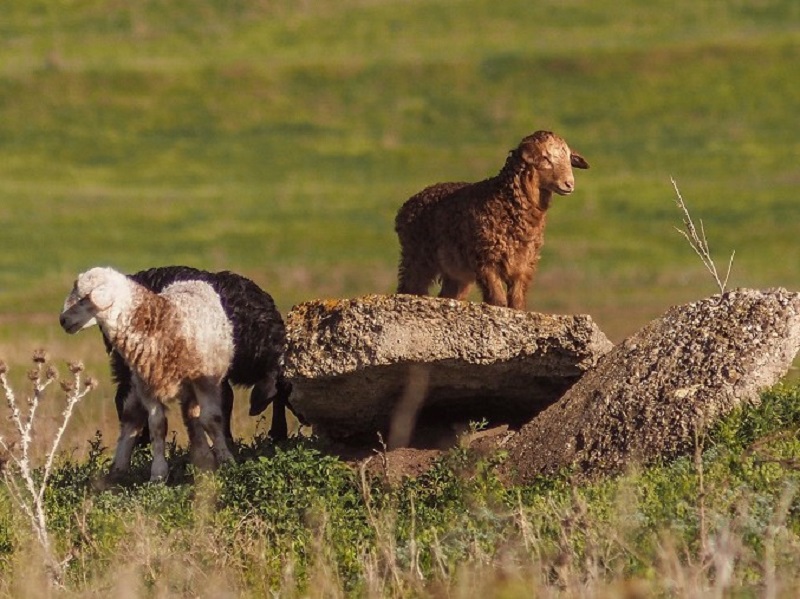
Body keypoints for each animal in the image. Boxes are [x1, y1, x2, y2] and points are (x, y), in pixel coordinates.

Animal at [60, 268, 234, 482]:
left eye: (85, 298)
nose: (63, 320)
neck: (159, 323)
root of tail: (190, 281)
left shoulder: (204, 381)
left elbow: (211, 419)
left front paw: (227, 460)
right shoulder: (148, 387)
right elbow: (157, 426)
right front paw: (158, 475)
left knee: (193, 416)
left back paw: (204, 458)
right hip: (138, 385)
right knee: (133, 419)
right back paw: (119, 469)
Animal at [394, 131, 588, 310]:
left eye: (569, 159)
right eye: (545, 158)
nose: (569, 184)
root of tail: (406, 206)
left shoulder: (524, 264)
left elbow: (517, 301)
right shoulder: (485, 259)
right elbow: (497, 299)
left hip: (456, 270)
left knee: (448, 293)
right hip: (417, 255)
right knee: (410, 286)